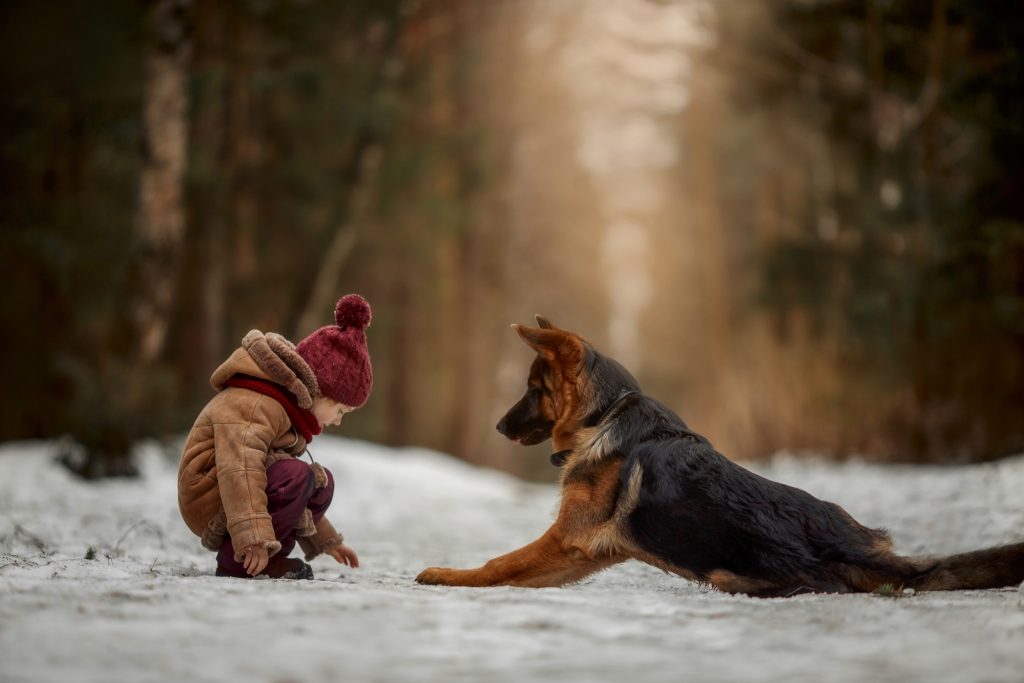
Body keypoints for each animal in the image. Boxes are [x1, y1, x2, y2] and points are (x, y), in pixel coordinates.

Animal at [415, 317, 1024, 593]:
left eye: (532, 389)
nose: (498, 425)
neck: (604, 415)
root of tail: (850, 543)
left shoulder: (568, 539)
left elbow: (499, 563)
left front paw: (447, 574)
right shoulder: (581, 554)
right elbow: (514, 569)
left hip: (735, 574)